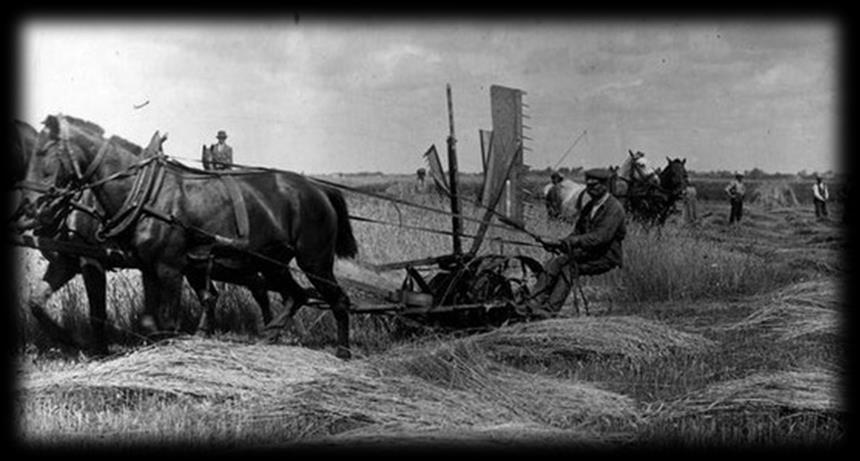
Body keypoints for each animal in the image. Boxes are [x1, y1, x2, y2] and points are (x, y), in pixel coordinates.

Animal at [20, 115, 358, 360]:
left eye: (43, 153)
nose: (30, 207)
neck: (143, 193)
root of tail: (319, 188)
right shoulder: (144, 266)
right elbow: (149, 320)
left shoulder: (164, 266)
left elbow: (144, 317)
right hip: (271, 261)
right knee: (293, 295)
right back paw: (267, 336)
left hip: (314, 259)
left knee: (335, 299)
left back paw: (342, 351)